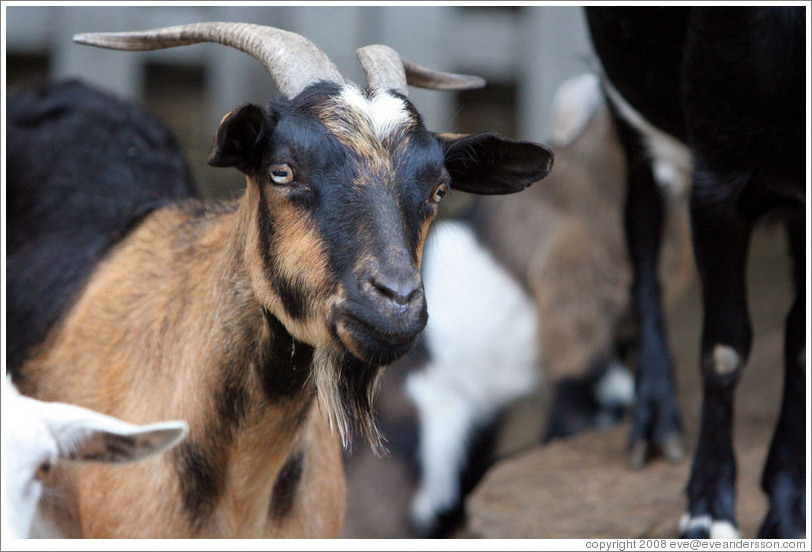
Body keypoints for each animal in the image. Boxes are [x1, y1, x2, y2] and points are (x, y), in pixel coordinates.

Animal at [586, 6, 806, 538]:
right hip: (627, 101)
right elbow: (725, 350)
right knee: (641, 227)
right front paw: (708, 511)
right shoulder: (716, 185)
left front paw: (789, 510)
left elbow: (801, 348)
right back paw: (655, 420)